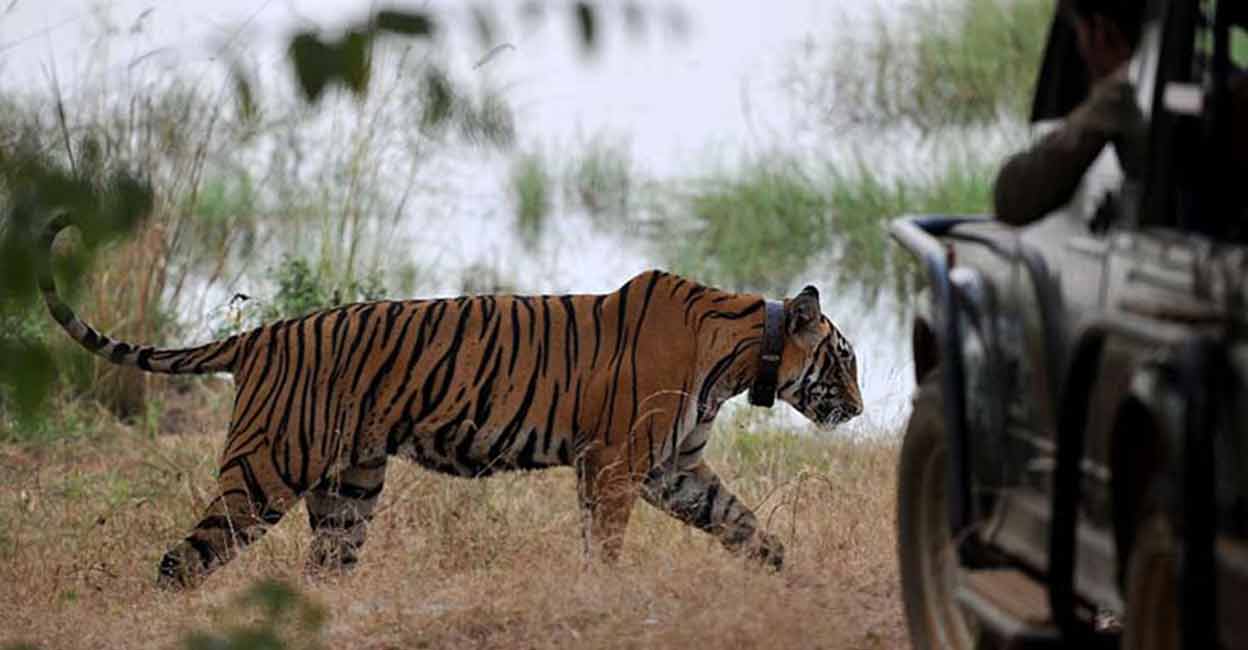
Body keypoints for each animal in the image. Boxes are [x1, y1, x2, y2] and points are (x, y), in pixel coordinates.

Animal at [39, 215, 864, 589]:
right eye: (846, 358)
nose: (858, 409)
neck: (743, 355)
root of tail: (263, 334)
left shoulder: (674, 470)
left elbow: (743, 522)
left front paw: (789, 575)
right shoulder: (617, 464)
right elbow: (606, 543)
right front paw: (603, 593)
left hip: (349, 486)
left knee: (322, 566)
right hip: (267, 468)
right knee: (183, 559)